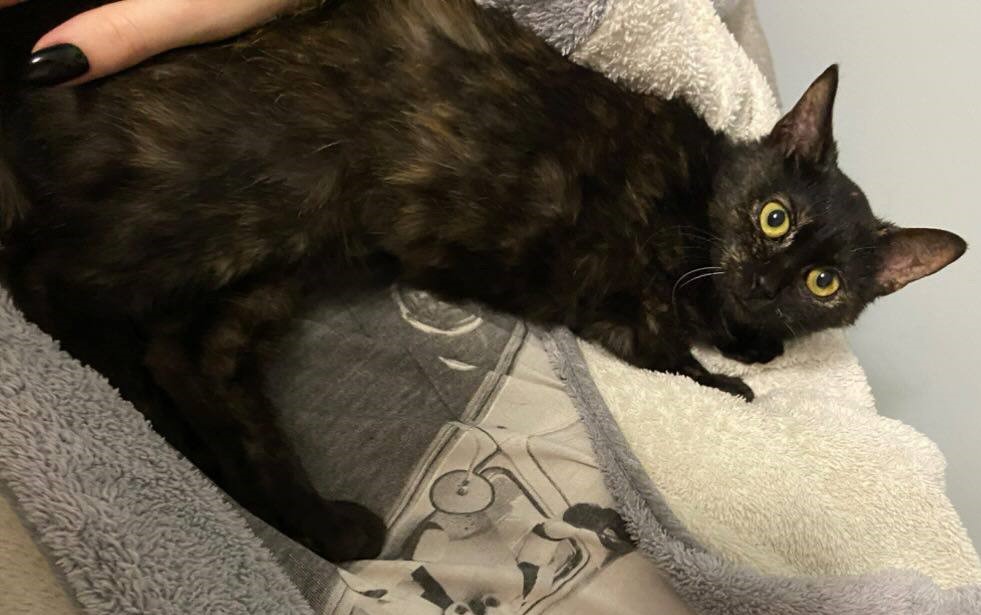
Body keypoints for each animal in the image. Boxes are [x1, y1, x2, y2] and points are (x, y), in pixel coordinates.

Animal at [0, 0, 965, 561]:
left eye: (823, 282)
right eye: (773, 217)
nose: (767, 280)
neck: (700, 201)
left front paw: (752, 341)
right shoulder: (630, 311)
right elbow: (676, 358)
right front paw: (732, 375)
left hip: (284, 255)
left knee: (194, 355)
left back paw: (311, 518)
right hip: (223, 207)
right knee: (56, 288)